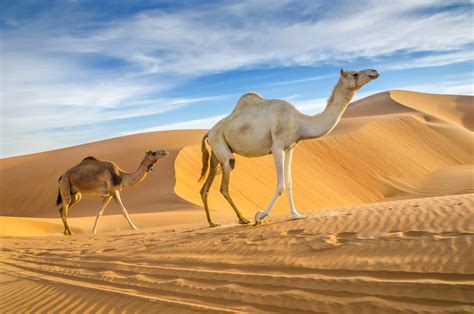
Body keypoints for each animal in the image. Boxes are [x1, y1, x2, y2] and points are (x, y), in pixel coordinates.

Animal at [198, 68, 380, 227]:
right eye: (355, 73)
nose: (374, 72)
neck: (300, 122)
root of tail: (209, 131)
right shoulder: (277, 147)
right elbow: (281, 185)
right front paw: (260, 216)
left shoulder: (290, 148)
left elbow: (290, 182)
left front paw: (296, 215)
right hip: (222, 147)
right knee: (224, 185)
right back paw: (242, 219)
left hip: (216, 154)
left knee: (205, 188)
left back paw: (212, 223)